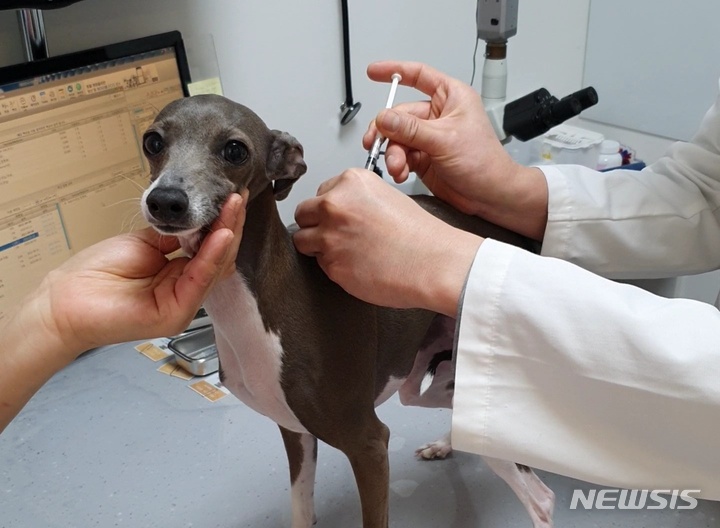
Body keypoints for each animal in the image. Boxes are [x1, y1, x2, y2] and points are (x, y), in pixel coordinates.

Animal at [141, 95, 556, 528]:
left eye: (235, 150)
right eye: (152, 142)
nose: (165, 200)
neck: (253, 310)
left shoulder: (369, 443)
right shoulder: (295, 432)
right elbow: (302, 510)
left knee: (541, 499)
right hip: (423, 380)